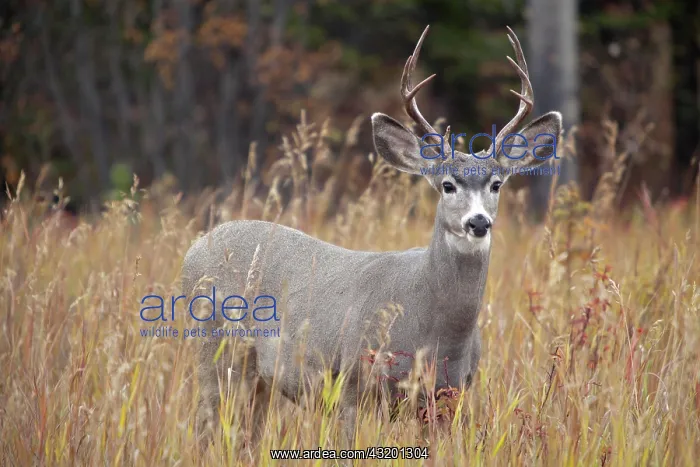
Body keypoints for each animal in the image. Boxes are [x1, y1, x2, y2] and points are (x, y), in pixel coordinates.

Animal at [181, 25, 562, 444]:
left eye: (496, 185)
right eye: (447, 185)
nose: (478, 222)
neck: (433, 330)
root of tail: (195, 246)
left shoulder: (449, 396)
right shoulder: (351, 380)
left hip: (258, 376)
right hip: (215, 348)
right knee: (204, 424)